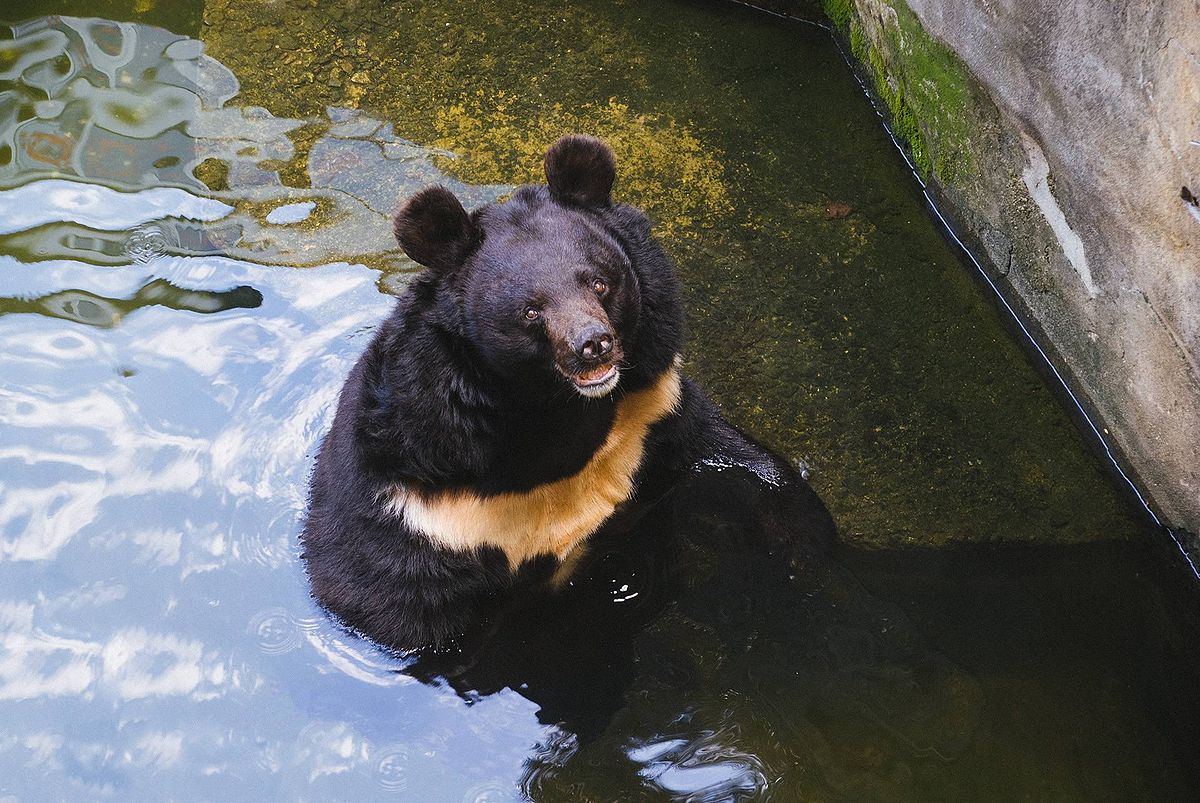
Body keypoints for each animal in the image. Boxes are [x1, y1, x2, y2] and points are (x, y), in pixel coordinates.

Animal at [297, 136, 835, 652]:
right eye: (531, 311)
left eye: (599, 282)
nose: (593, 345)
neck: (560, 413)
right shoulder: (427, 517)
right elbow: (411, 610)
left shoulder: (651, 408)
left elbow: (744, 464)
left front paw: (808, 552)